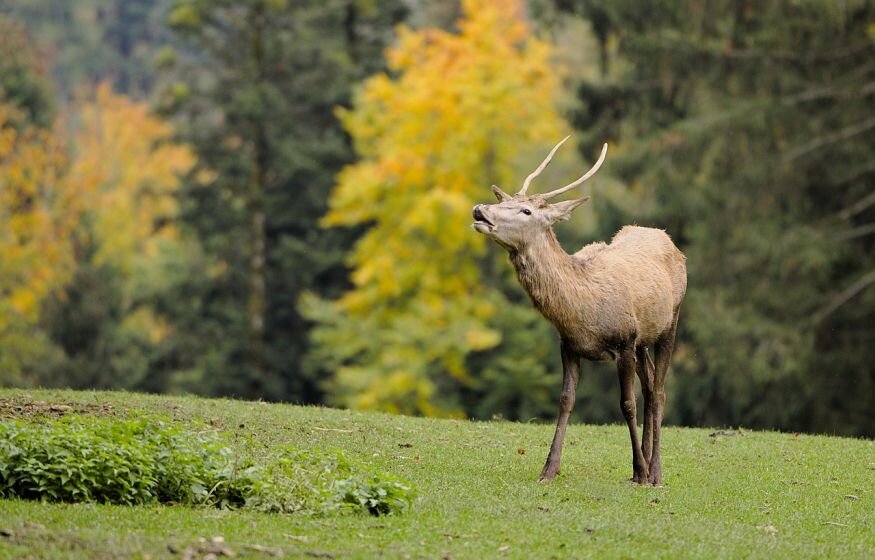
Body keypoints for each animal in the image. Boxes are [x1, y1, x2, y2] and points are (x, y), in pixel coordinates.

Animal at [472, 137, 684, 486]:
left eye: (526, 210)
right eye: (507, 200)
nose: (480, 210)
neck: (582, 310)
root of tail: (665, 236)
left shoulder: (624, 340)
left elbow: (627, 404)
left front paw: (641, 471)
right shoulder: (569, 345)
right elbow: (565, 400)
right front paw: (548, 469)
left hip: (670, 322)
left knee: (659, 391)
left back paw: (653, 471)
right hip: (643, 341)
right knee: (651, 384)